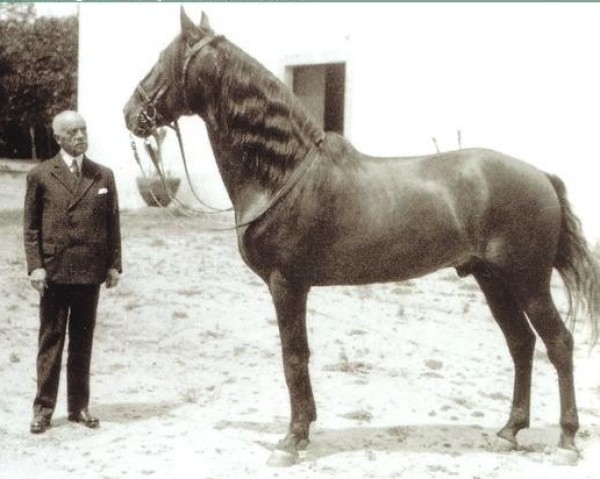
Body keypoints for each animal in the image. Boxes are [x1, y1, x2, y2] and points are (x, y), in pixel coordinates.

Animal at [123, 7, 600, 464]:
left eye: (163, 59)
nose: (129, 113)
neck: (283, 174)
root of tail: (541, 175)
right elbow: (299, 356)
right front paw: (305, 429)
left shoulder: (286, 283)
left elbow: (293, 357)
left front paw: (292, 440)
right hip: (492, 280)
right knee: (521, 344)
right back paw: (509, 431)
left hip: (528, 282)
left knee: (559, 344)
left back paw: (566, 442)